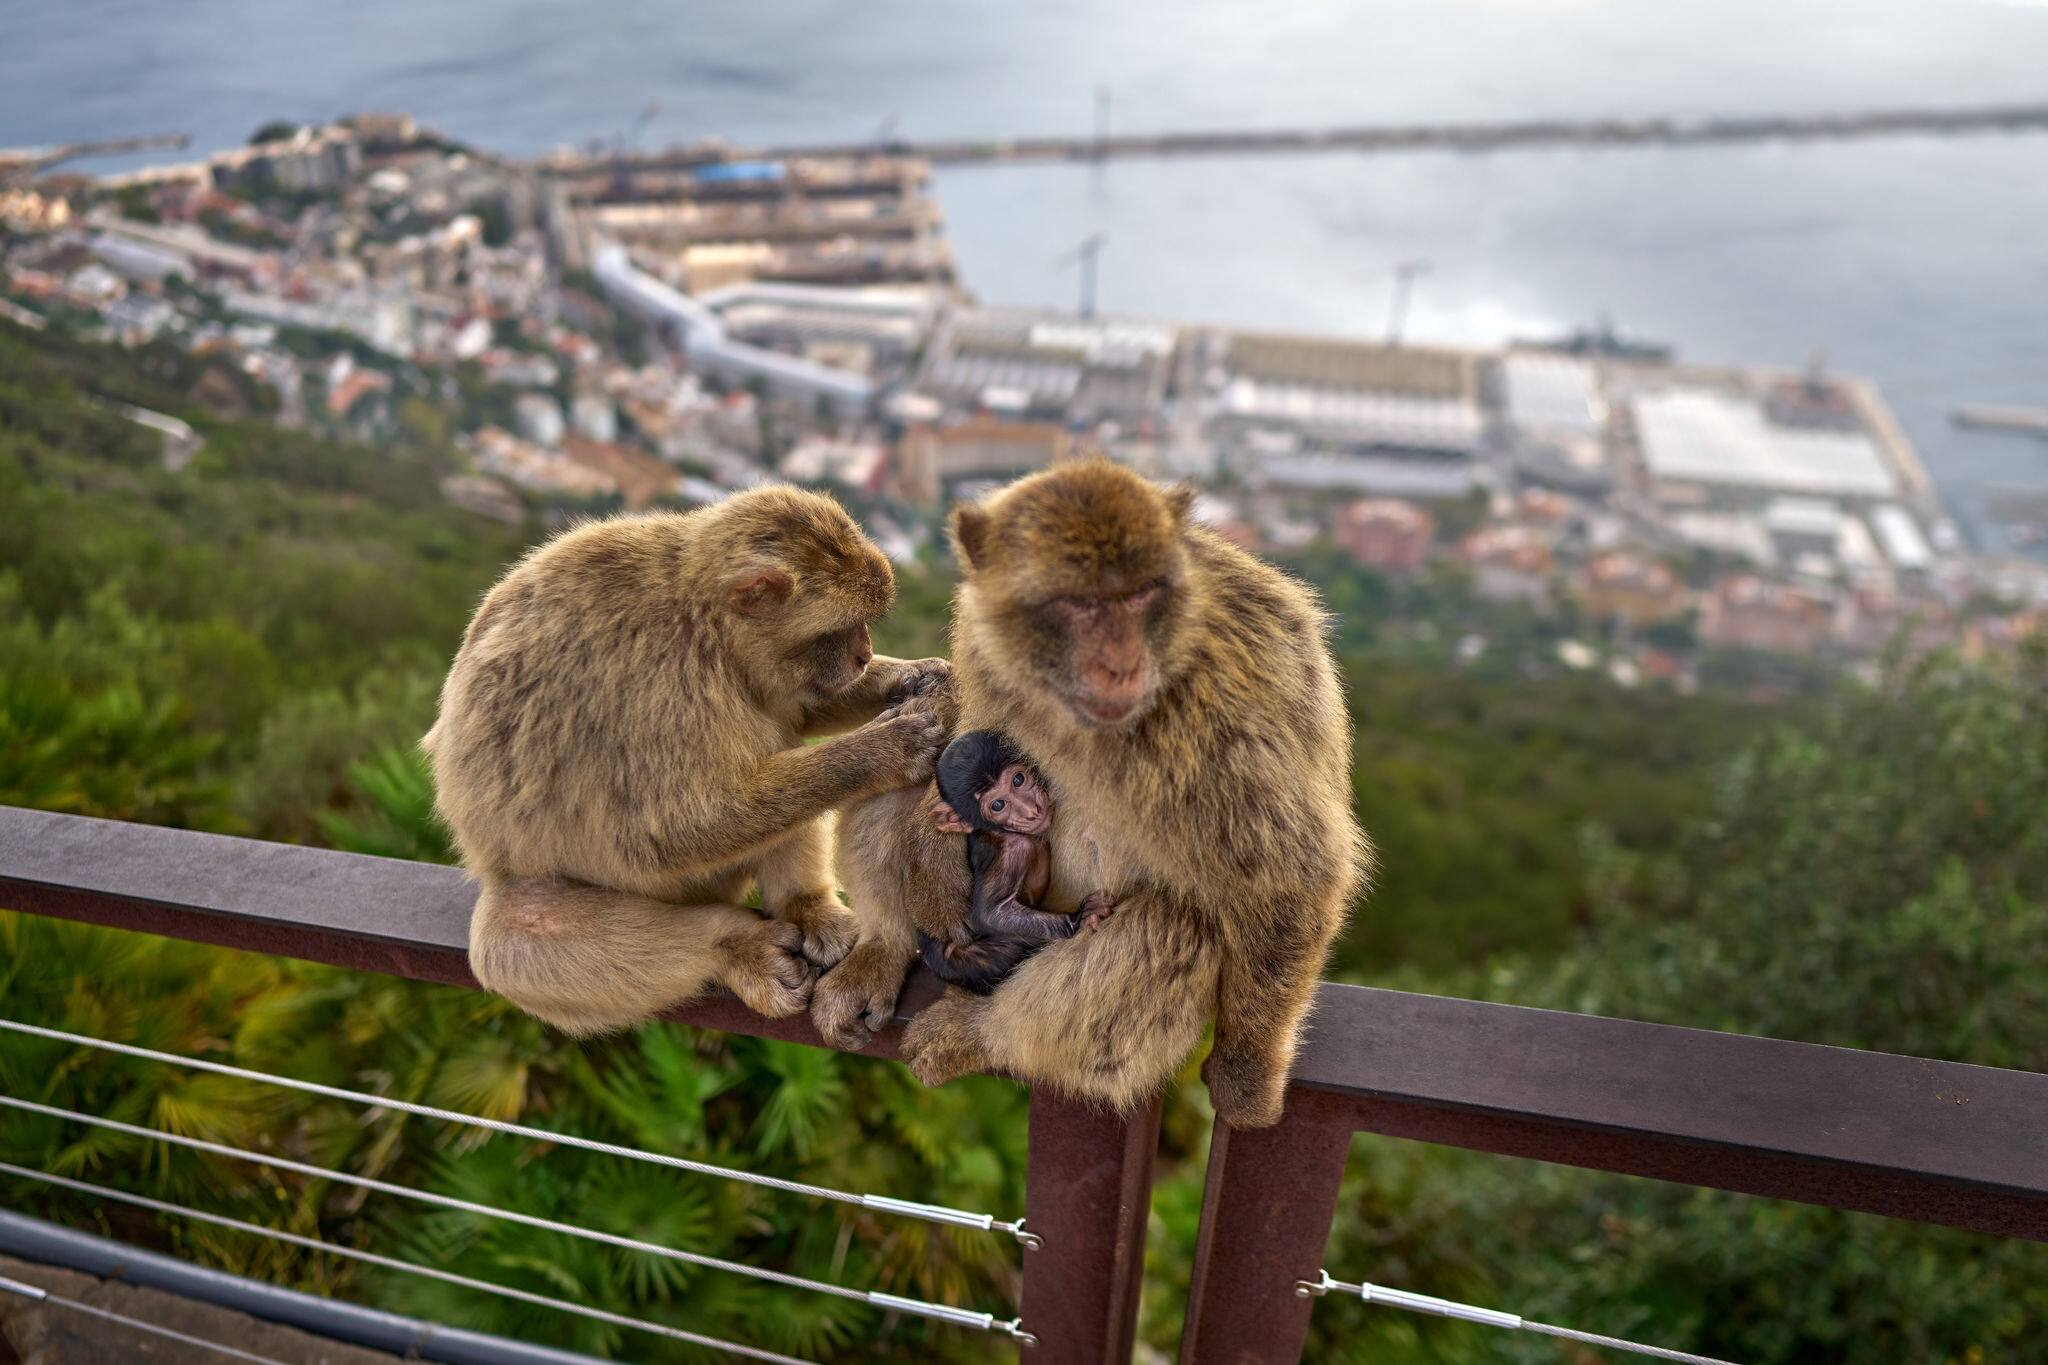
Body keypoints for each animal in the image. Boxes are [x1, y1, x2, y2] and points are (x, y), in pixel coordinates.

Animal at [423, 485, 951, 1037]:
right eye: (840, 628)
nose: (864, 655)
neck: (703, 619)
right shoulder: (661, 677)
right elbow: (666, 831)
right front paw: (885, 750)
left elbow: (799, 708)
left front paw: (921, 676)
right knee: (512, 939)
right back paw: (736, 945)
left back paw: (807, 906)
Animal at [919, 729, 1117, 996]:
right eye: (998, 805)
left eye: (1018, 780)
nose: (1030, 810)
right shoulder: (1014, 851)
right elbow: (990, 914)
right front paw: (1078, 919)